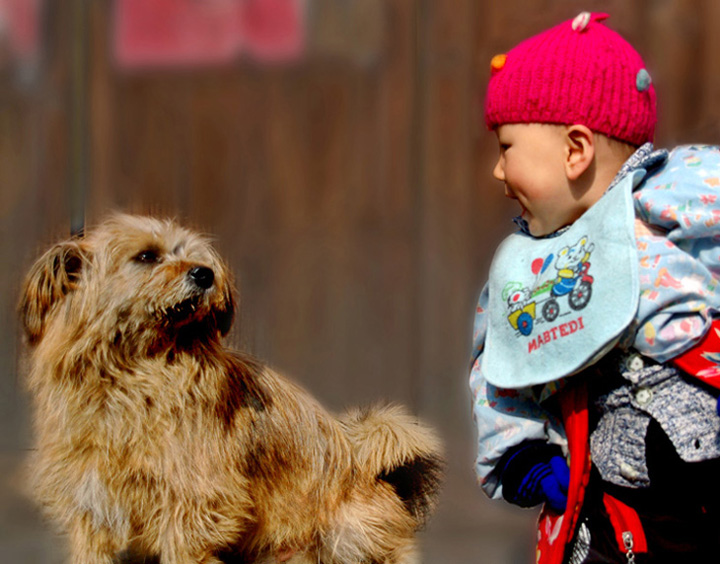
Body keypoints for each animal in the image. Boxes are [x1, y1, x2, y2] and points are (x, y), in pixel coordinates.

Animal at [19, 214, 442, 560]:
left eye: (195, 258)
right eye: (146, 256)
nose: (205, 273)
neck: (135, 374)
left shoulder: (192, 498)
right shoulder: (93, 502)